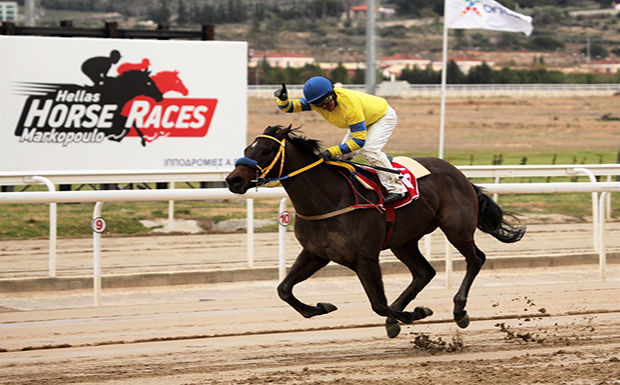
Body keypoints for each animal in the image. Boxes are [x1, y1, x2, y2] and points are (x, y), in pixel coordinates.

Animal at [225, 124, 524, 338]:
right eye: (247, 147)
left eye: (265, 150)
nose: (234, 180)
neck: (330, 198)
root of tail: (460, 174)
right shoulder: (315, 253)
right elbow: (283, 290)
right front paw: (319, 307)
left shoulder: (365, 257)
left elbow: (378, 303)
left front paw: (416, 313)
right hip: (404, 241)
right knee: (424, 272)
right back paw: (399, 317)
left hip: (456, 228)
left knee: (475, 259)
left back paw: (459, 310)